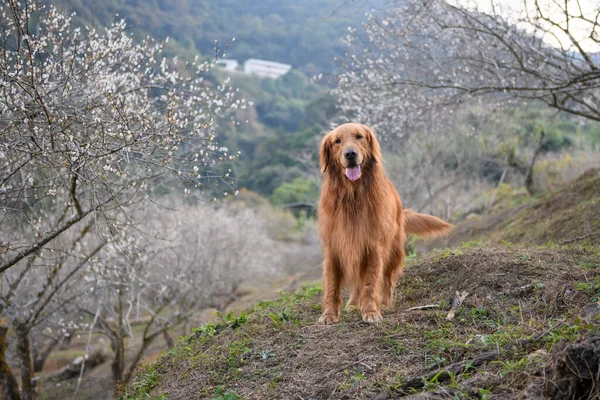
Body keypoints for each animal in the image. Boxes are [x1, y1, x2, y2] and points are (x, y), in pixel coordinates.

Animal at [318, 123, 450, 324]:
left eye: (359, 136)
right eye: (337, 141)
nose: (350, 154)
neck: (352, 196)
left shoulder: (373, 247)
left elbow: (371, 284)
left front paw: (371, 311)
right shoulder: (335, 248)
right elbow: (333, 286)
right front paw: (329, 315)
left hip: (393, 249)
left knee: (387, 279)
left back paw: (386, 303)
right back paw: (353, 303)